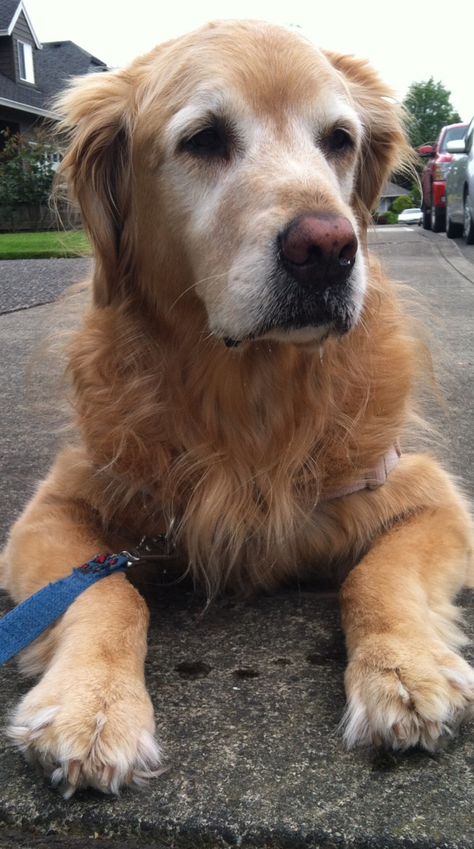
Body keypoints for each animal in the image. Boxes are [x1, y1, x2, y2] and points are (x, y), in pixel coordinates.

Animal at [0, 19, 474, 800]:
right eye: (205, 139)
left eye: (339, 139)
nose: (329, 248)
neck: (249, 394)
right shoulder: (55, 508)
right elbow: (108, 594)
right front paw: (92, 706)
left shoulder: (428, 493)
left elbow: (375, 575)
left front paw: (405, 670)